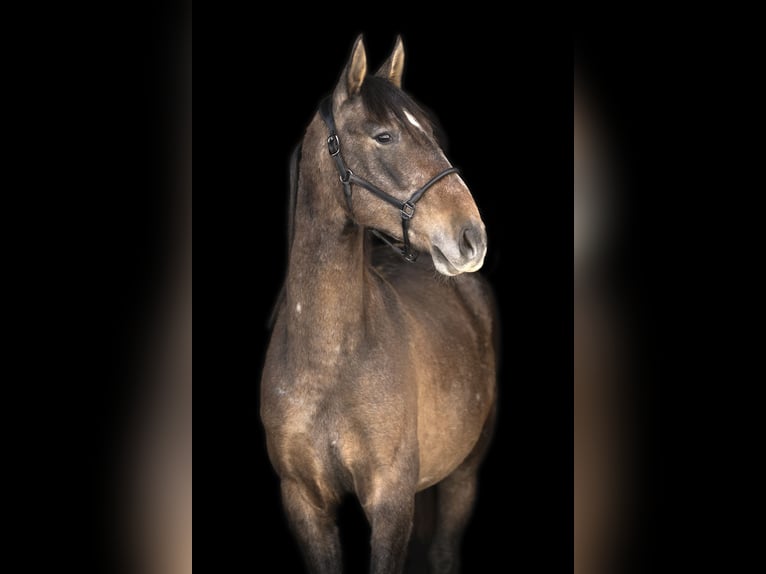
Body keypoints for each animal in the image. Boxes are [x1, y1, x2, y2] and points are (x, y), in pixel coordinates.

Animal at [260, 35, 498, 574]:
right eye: (384, 136)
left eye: (429, 131)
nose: (471, 238)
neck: (329, 361)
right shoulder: (305, 503)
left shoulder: (390, 501)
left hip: (463, 476)